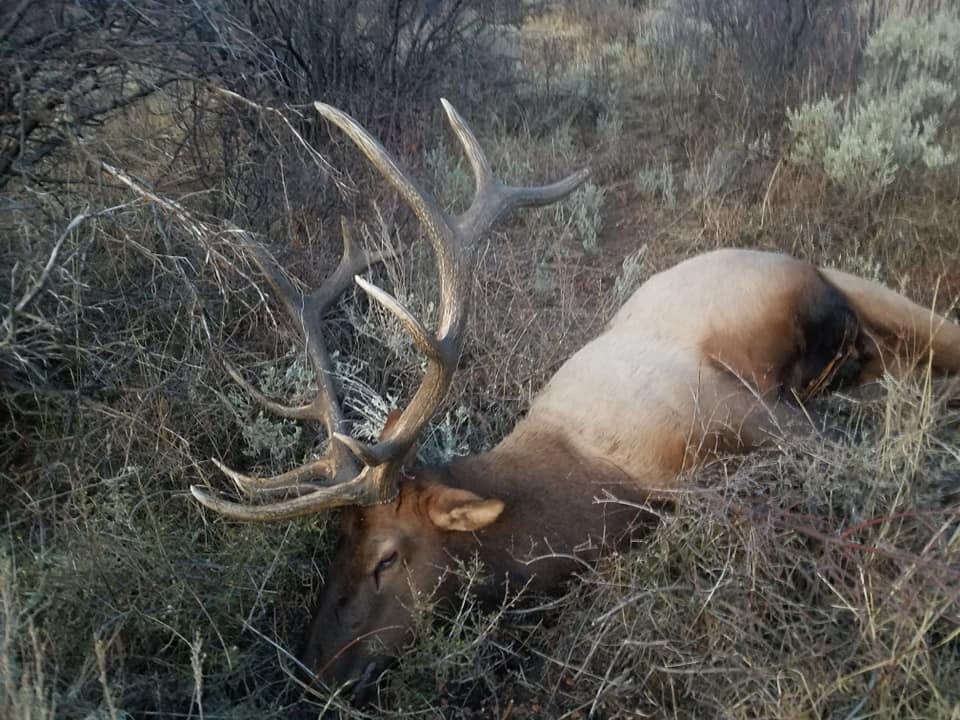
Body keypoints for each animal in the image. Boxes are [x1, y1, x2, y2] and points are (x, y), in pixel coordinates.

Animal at [189, 99, 960, 697]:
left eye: (388, 557)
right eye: (333, 546)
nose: (312, 673)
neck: (597, 487)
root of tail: (807, 261)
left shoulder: (752, 410)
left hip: (837, 305)